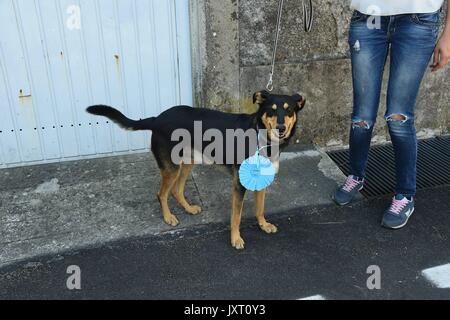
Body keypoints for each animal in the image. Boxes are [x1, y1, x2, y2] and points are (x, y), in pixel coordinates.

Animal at [87, 91, 306, 249]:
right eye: (272, 110)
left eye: (288, 111)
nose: (280, 128)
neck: (261, 136)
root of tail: (157, 118)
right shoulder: (238, 184)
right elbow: (236, 216)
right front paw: (235, 239)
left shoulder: (261, 179)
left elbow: (260, 208)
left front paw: (263, 224)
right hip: (172, 167)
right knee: (162, 194)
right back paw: (168, 217)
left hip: (187, 162)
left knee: (176, 190)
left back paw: (189, 208)